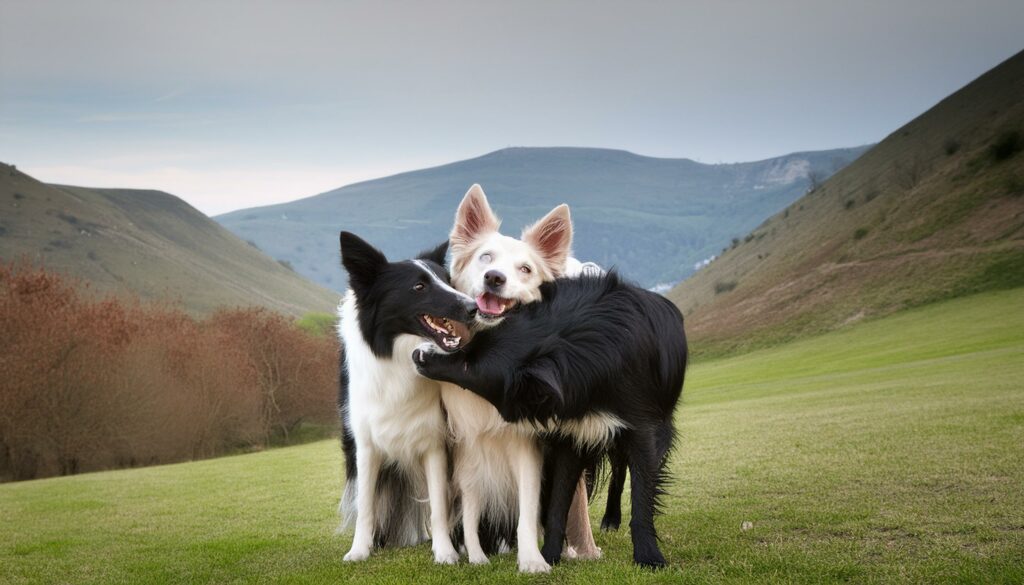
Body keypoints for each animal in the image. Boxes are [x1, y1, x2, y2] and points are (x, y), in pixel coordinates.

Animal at [415, 272, 688, 569]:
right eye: (469, 347)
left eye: (470, 367)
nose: (418, 355)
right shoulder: (572, 434)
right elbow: (559, 501)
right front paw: (548, 555)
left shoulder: (644, 430)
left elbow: (642, 495)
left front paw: (649, 555)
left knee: (620, 470)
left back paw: (612, 519)